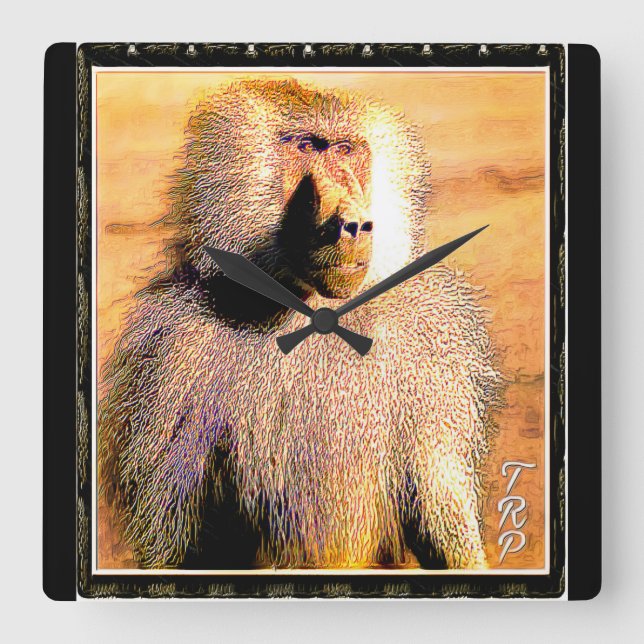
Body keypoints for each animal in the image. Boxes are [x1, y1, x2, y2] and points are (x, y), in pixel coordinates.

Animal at [98, 78, 501, 570]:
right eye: (308, 147)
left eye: (346, 150)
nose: (353, 224)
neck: (314, 312)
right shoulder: (174, 350)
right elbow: (174, 545)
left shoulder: (431, 339)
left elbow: (440, 510)